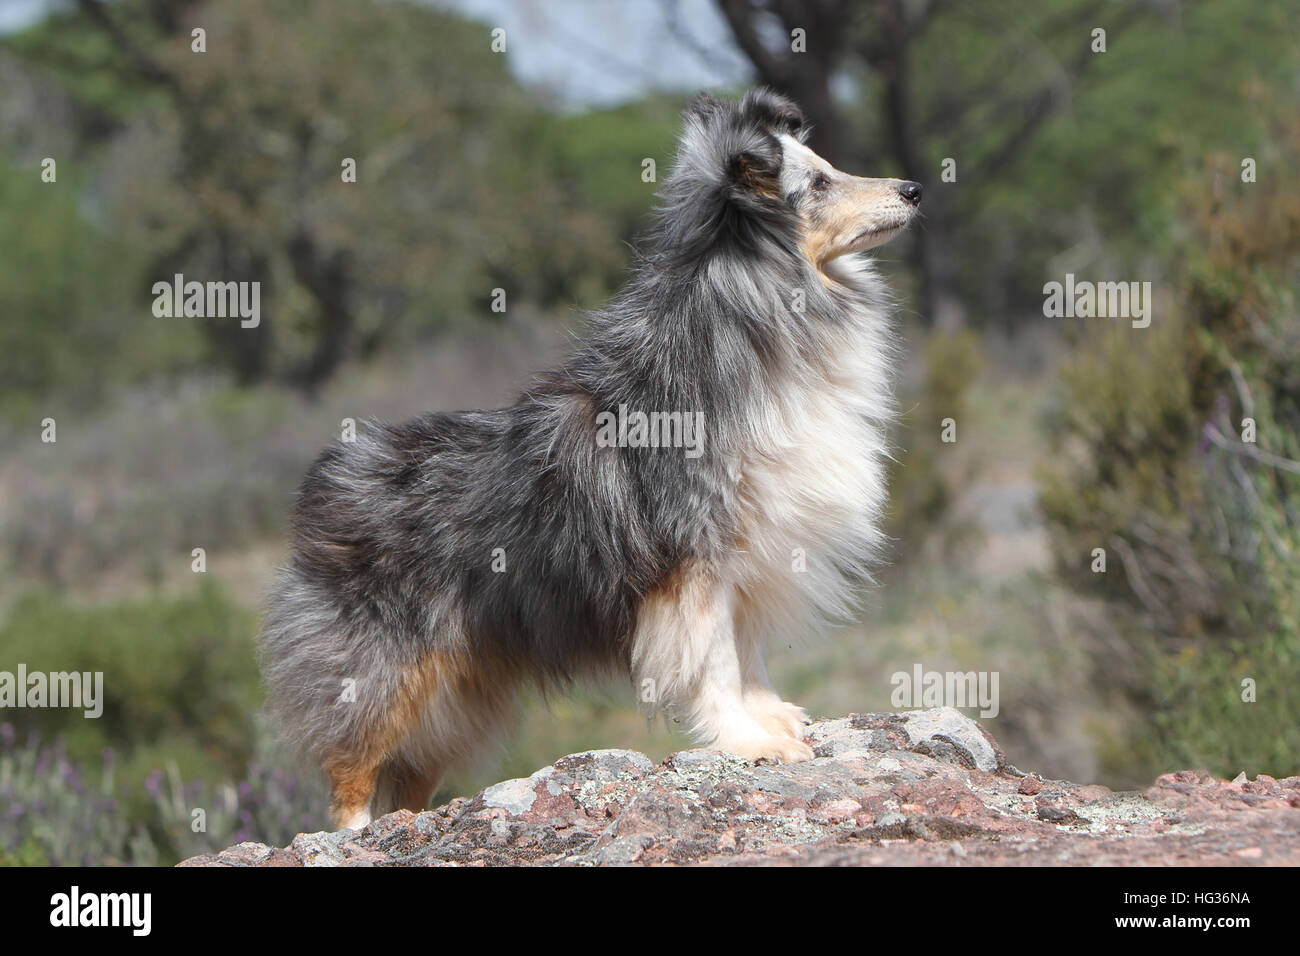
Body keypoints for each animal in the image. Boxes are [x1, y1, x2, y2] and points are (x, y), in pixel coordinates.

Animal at [258, 87, 920, 832]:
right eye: (820, 184)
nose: (914, 189)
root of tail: (329, 476)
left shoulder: (751, 558)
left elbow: (748, 657)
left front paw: (774, 721)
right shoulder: (694, 566)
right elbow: (715, 664)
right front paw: (750, 742)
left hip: (457, 696)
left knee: (406, 780)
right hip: (383, 670)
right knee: (350, 772)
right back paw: (357, 835)